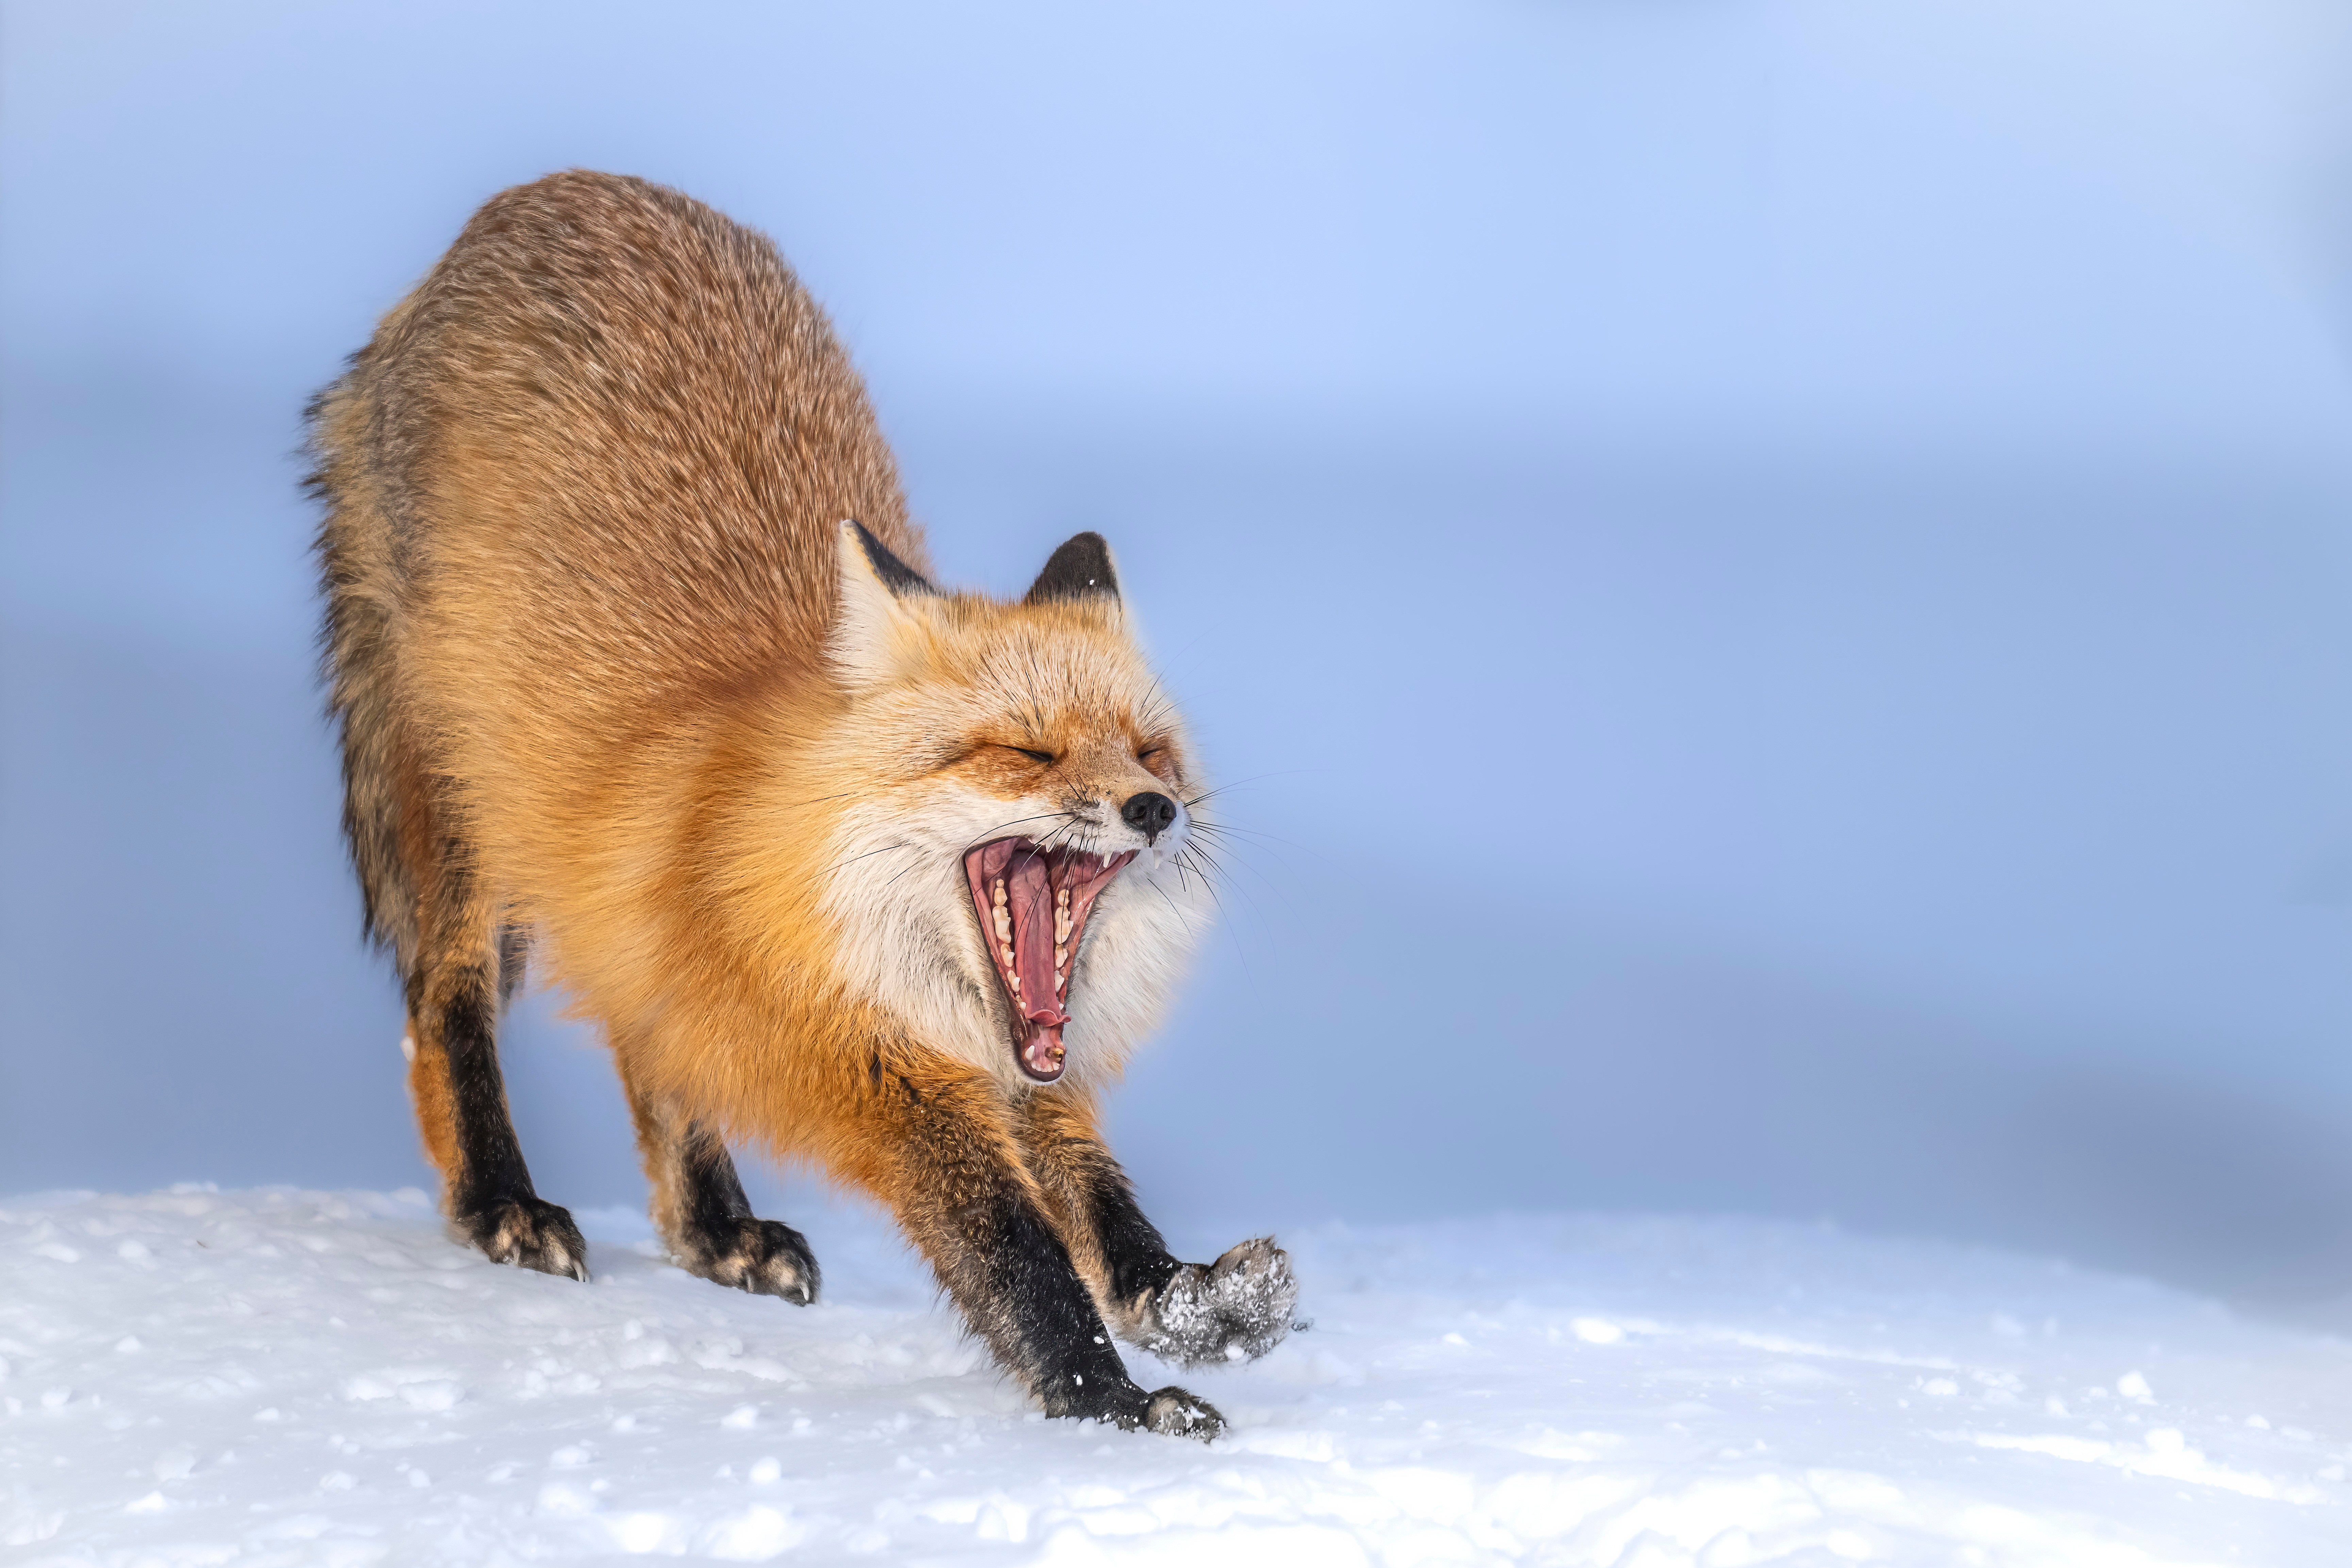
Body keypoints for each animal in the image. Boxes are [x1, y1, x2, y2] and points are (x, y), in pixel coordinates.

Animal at [304, 170, 1295, 1438]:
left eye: (1149, 752)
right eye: (1025, 750)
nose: (1152, 811)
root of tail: (532, 199)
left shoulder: (1015, 1064)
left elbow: (1100, 1203)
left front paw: (1186, 1301)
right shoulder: (880, 1081)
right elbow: (1018, 1253)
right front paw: (1114, 1405)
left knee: (648, 1042)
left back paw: (713, 1229)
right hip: (469, 810)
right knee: (443, 1004)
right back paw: (497, 1202)